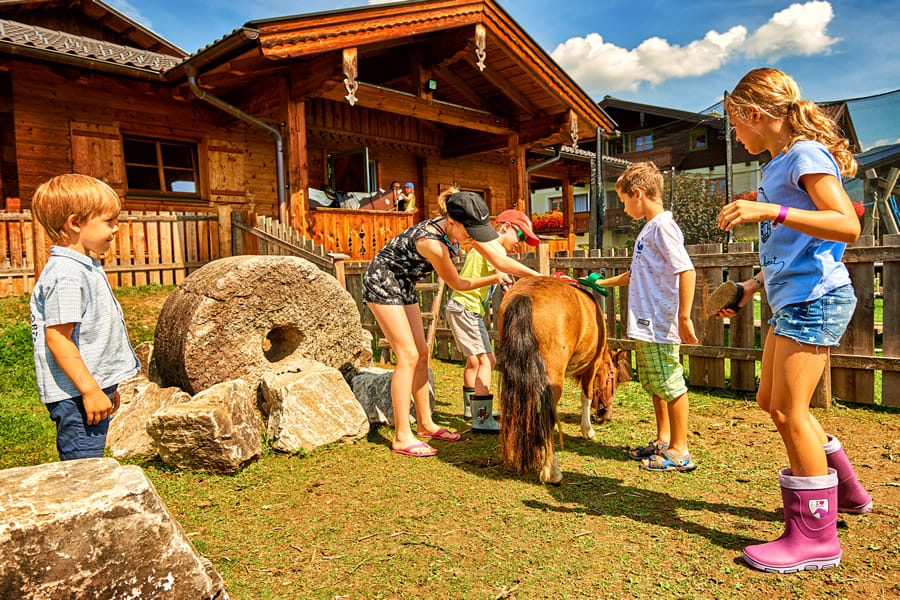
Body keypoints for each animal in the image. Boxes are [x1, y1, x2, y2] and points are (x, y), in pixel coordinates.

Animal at [496, 276, 624, 485]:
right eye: (613, 380)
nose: (606, 415)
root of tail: (526, 295)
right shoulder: (592, 365)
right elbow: (586, 396)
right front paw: (587, 430)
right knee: (547, 415)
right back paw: (552, 471)